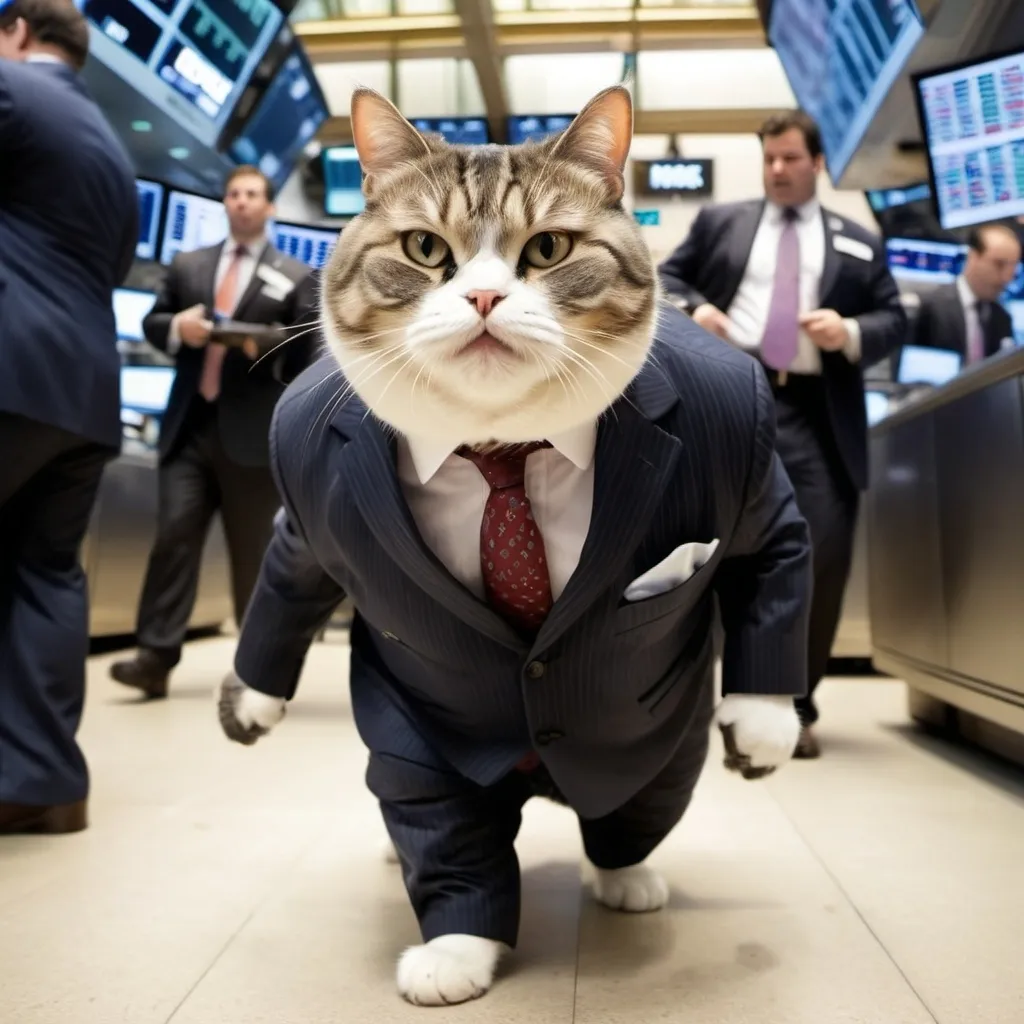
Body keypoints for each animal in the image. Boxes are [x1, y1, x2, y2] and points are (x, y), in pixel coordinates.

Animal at [220, 83, 811, 1003]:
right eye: (426, 248)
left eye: (549, 249)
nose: (485, 299)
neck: (499, 449)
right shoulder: (308, 490)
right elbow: (289, 578)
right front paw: (461, 944)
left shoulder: (743, 465)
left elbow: (774, 558)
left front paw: (764, 722)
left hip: (663, 740)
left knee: (638, 802)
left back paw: (624, 870)